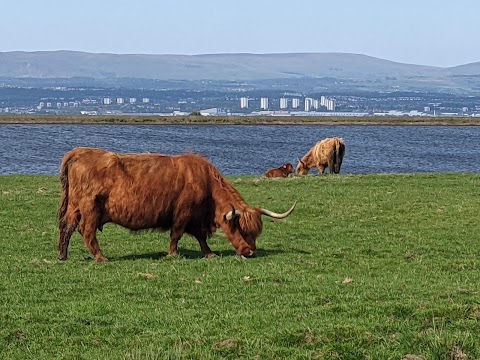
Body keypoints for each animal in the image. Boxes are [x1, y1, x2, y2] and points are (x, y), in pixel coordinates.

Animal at [57, 146, 294, 262]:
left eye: (254, 233)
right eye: (240, 228)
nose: (250, 251)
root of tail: (80, 152)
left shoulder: (196, 218)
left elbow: (200, 237)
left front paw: (209, 253)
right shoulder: (183, 212)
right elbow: (176, 234)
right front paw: (172, 254)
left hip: (74, 207)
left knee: (66, 228)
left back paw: (62, 255)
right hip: (90, 208)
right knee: (86, 231)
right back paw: (101, 257)